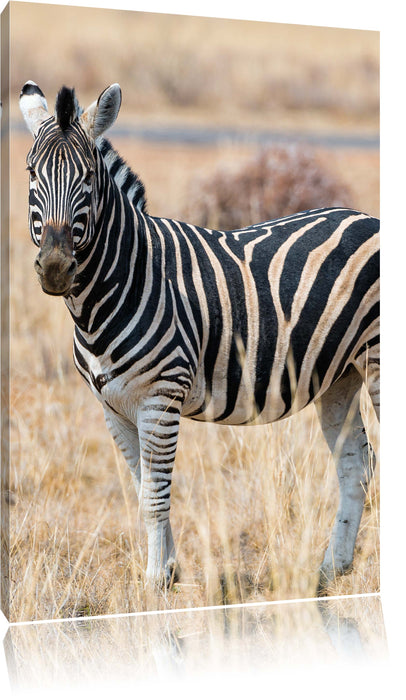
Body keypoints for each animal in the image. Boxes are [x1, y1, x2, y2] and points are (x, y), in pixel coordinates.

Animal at [19, 81, 380, 593]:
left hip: (378, 359)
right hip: (340, 376)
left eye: (87, 177)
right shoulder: (113, 408)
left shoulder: (160, 398)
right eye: (32, 172)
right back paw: (332, 568)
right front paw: (169, 572)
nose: (54, 267)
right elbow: (143, 489)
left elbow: (155, 495)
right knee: (355, 466)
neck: (118, 284)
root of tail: (369, 218)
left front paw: (154, 583)